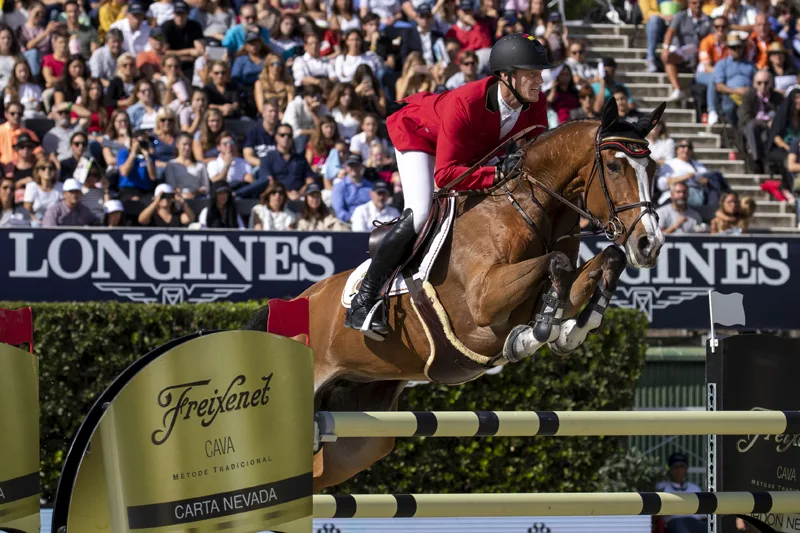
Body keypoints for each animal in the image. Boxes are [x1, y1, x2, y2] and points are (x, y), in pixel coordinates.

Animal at [245, 96, 668, 490]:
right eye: (614, 166)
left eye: (654, 169)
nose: (650, 245)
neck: (522, 210)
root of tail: (282, 307)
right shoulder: (483, 305)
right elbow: (556, 265)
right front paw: (536, 334)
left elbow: (604, 261)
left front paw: (569, 331)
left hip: (357, 436)